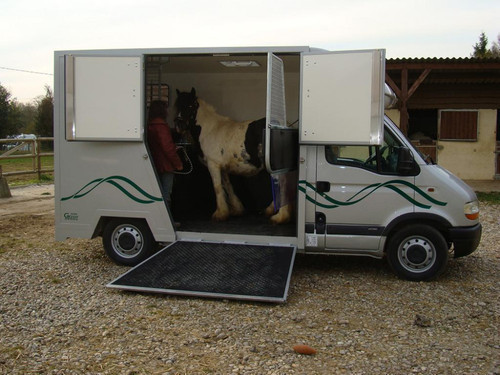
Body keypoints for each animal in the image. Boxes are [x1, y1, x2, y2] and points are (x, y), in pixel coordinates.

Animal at [175, 87, 292, 223]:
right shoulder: (223, 167)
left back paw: (279, 217)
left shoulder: (213, 164)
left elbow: (217, 187)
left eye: (190, 105)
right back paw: (271, 211)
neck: (209, 129)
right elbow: (227, 186)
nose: (179, 126)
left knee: (281, 187)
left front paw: (220, 214)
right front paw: (236, 210)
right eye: (177, 105)